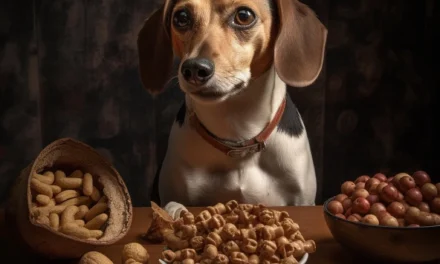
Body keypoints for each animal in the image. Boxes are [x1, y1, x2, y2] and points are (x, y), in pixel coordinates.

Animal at [138, 0, 326, 219]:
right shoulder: (174, 194)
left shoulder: (302, 200)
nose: (194, 69)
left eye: (244, 15)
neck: (238, 137)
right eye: (181, 18)